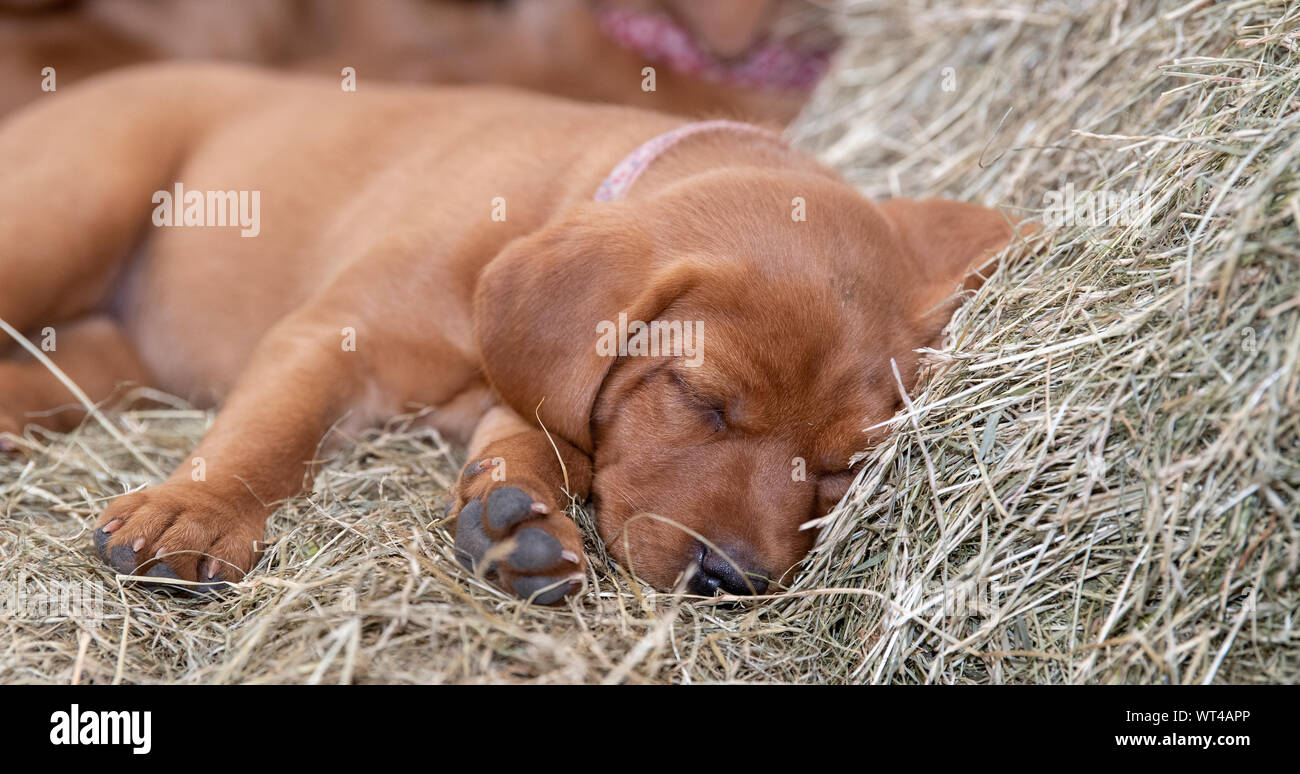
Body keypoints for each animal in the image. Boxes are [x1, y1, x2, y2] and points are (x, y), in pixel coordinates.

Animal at [0, 63, 1024, 603]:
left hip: (98, 356)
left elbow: (537, 438)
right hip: (70, 210)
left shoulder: (522, 396)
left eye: (845, 465)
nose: (733, 578)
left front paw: (519, 517)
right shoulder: (331, 336)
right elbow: (269, 435)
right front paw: (197, 510)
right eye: (703, 401)